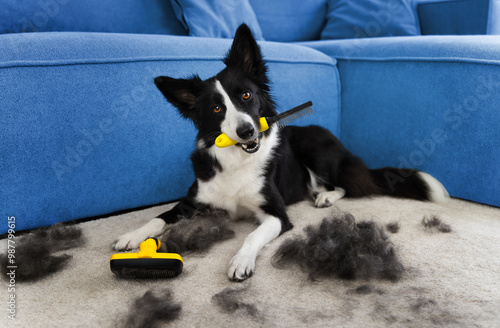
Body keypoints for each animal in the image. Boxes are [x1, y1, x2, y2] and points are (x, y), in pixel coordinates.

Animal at [114, 24, 450, 282]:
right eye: (217, 108)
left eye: (246, 95)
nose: (247, 131)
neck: (239, 159)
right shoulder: (194, 199)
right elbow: (159, 217)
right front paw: (132, 235)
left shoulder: (277, 214)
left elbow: (252, 235)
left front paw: (241, 261)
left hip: (317, 150)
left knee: (347, 184)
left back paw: (326, 196)